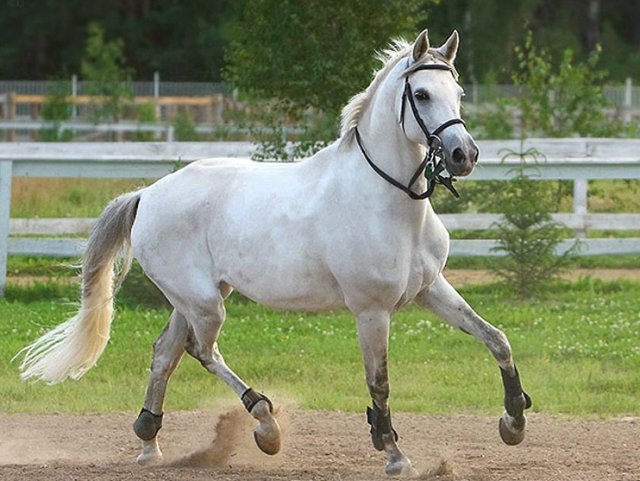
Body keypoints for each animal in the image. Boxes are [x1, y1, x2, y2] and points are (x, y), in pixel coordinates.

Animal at [20, 31, 528, 476]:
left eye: (458, 93)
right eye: (420, 95)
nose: (464, 154)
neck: (390, 203)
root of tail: (148, 194)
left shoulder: (431, 291)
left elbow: (497, 339)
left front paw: (514, 422)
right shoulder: (371, 310)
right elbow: (379, 383)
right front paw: (394, 456)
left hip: (194, 299)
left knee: (166, 353)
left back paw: (150, 444)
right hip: (205, 303)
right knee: (201, 350)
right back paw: (265, 423)